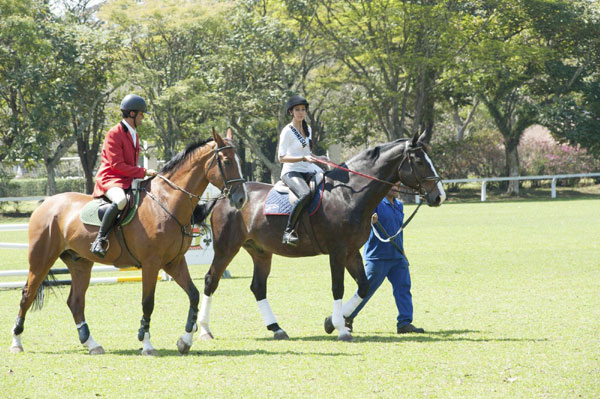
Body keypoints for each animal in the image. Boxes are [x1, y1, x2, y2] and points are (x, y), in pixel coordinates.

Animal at [8, 129, 246, 356]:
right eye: (226, 161)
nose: (241, 198)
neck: (166, 201)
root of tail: (45, 204)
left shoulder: (174, 262)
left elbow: (194, 295)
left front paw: (185, 340)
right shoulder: (151, 264)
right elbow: (148, 303)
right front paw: (147, 344)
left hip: (80, 263)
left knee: (75, 302)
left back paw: (91, 344)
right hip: (41, 261)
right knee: (27, 296)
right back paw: (16, 342)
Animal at [197, 133, 446, 342]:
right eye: (420, 162)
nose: (439, 196)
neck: (347, 194)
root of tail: (224, 195)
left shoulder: (351, 252)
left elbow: (363, 287)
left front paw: (332, 323)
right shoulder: (337, 252)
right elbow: (338, 288)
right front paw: (340, 328)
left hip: (261, 252)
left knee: (258, 287)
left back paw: (277, 329)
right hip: (226, 248)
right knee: (211, 280)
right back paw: (205, 330)